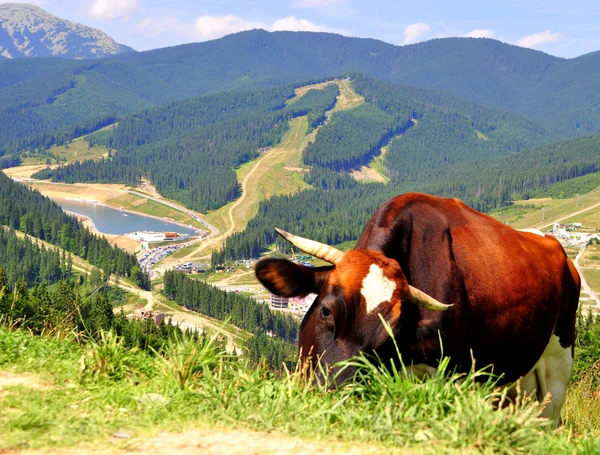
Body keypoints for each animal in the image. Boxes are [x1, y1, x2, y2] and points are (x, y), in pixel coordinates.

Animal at [255, 192, 580, 428]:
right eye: (326, 312)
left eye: (384, 341)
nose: (330, 394)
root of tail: (556, 247)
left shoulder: (445, 371)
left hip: (558, 363)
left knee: (551, 418)